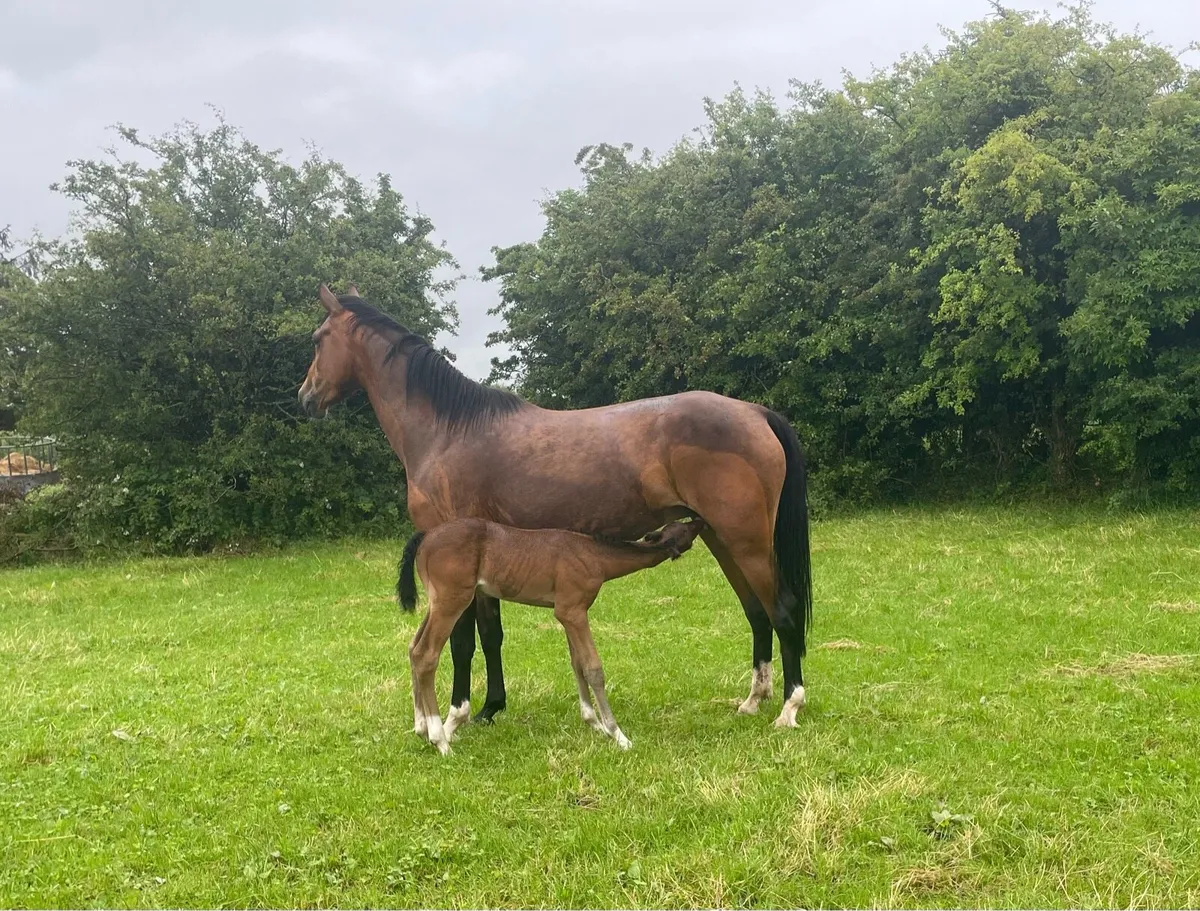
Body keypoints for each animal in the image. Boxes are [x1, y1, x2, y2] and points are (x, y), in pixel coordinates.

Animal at [298, 284, 813, 729]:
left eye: (318, 339)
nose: (306, 396)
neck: (448, 431)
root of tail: (754, 412)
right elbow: (491, 635)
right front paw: (491, 708)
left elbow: (462, 641)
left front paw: (458, 714)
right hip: (718, 537)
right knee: (756, 613)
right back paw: (753, 700)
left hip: (746, 541)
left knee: (783, 609)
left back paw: (789, 707)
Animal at [396, 517, 706, 754]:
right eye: (684, 529)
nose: (699, 520)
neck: (595, 555)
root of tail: (426, 536)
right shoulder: (573, 612)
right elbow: (593, 668)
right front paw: (618, 734)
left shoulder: (569, 614)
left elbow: (577, 665)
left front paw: (594, 723)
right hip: (452, 601)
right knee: (426, 654)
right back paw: (440, 739)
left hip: (437, 603)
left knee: (413, 648)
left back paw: (421, 727)